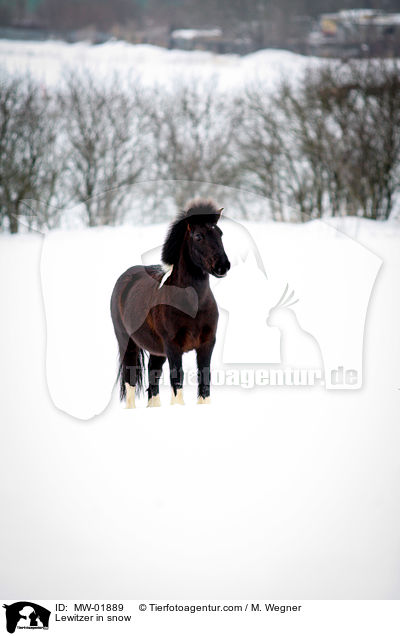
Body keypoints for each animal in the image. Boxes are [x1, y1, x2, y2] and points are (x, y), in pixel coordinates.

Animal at [111, 199, 230, 408]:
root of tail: (125, 278)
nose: (223, 266)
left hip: (157, 351)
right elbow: (177, 383)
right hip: (128, 343)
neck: (192, 305)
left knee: (153, 377)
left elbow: (204, 383)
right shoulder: (173, 347)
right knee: (130, 381)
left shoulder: (207, 344)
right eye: (198, 236)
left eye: (220, 233)